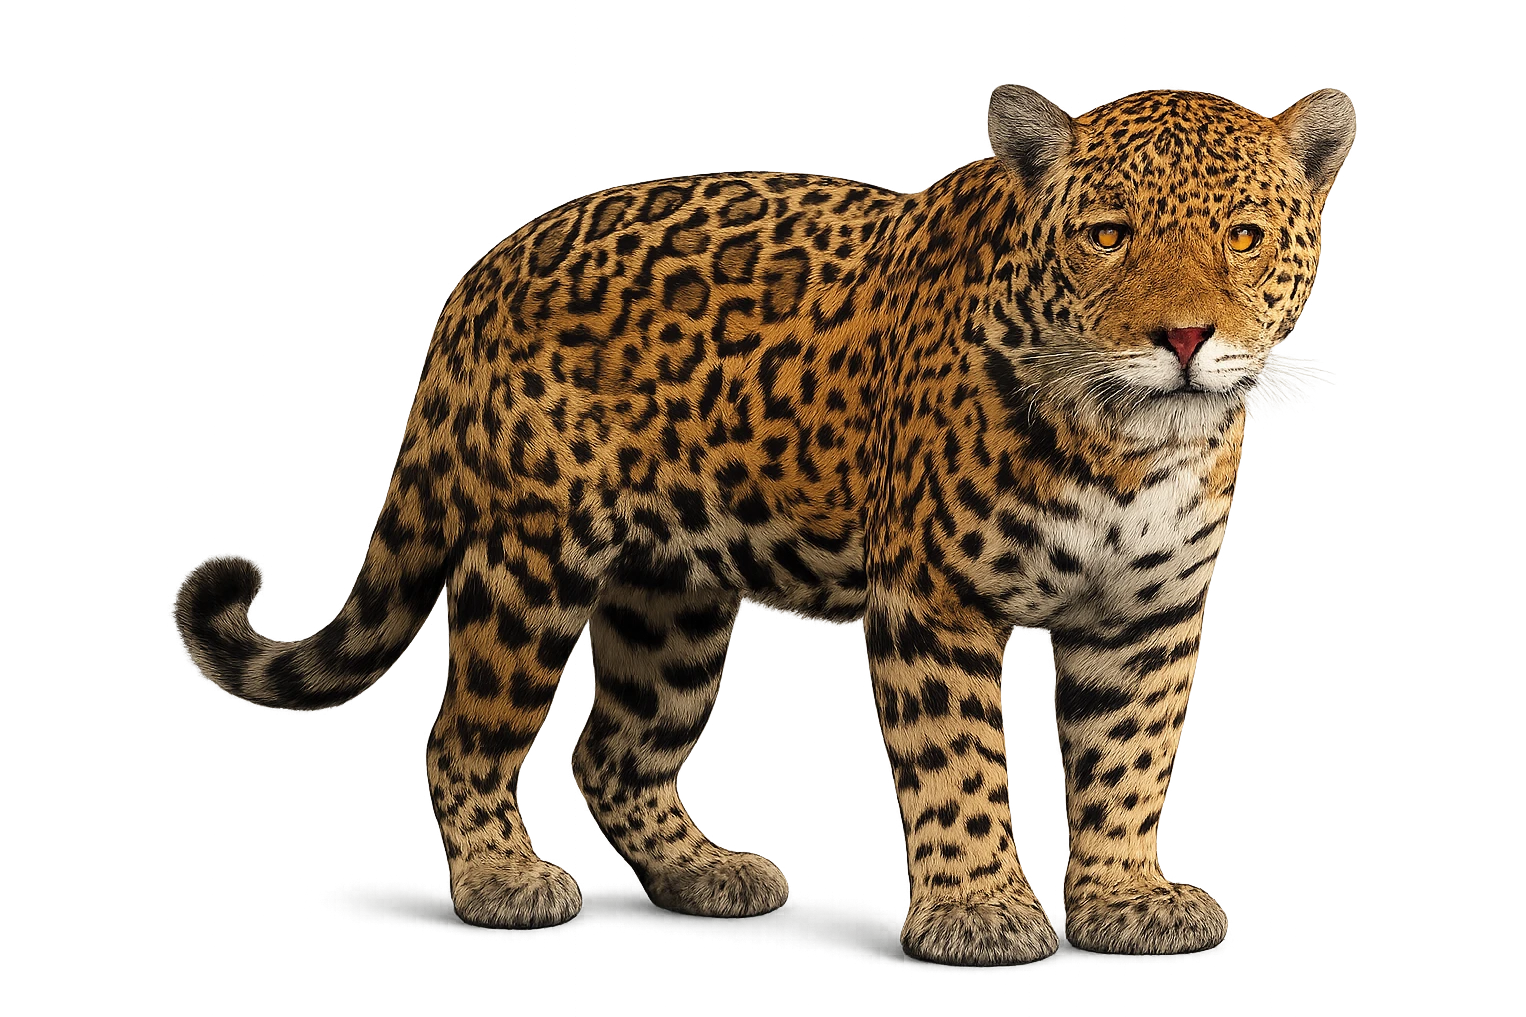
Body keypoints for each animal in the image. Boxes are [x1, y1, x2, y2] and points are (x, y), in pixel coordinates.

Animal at [172, 83, 1357, 966]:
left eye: (1245, 237)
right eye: (1107, 236)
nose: (1184, 338)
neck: (1129, 441)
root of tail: (484, 270)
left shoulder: (1145, 617)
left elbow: (1129, 760)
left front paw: (1123, 899)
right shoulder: (933, 601)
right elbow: (958, 760)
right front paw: (978, 909)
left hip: (673, 595)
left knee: (614, 748)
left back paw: (703, 870)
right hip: (534, 562)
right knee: (464, 730)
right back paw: (503, 875)